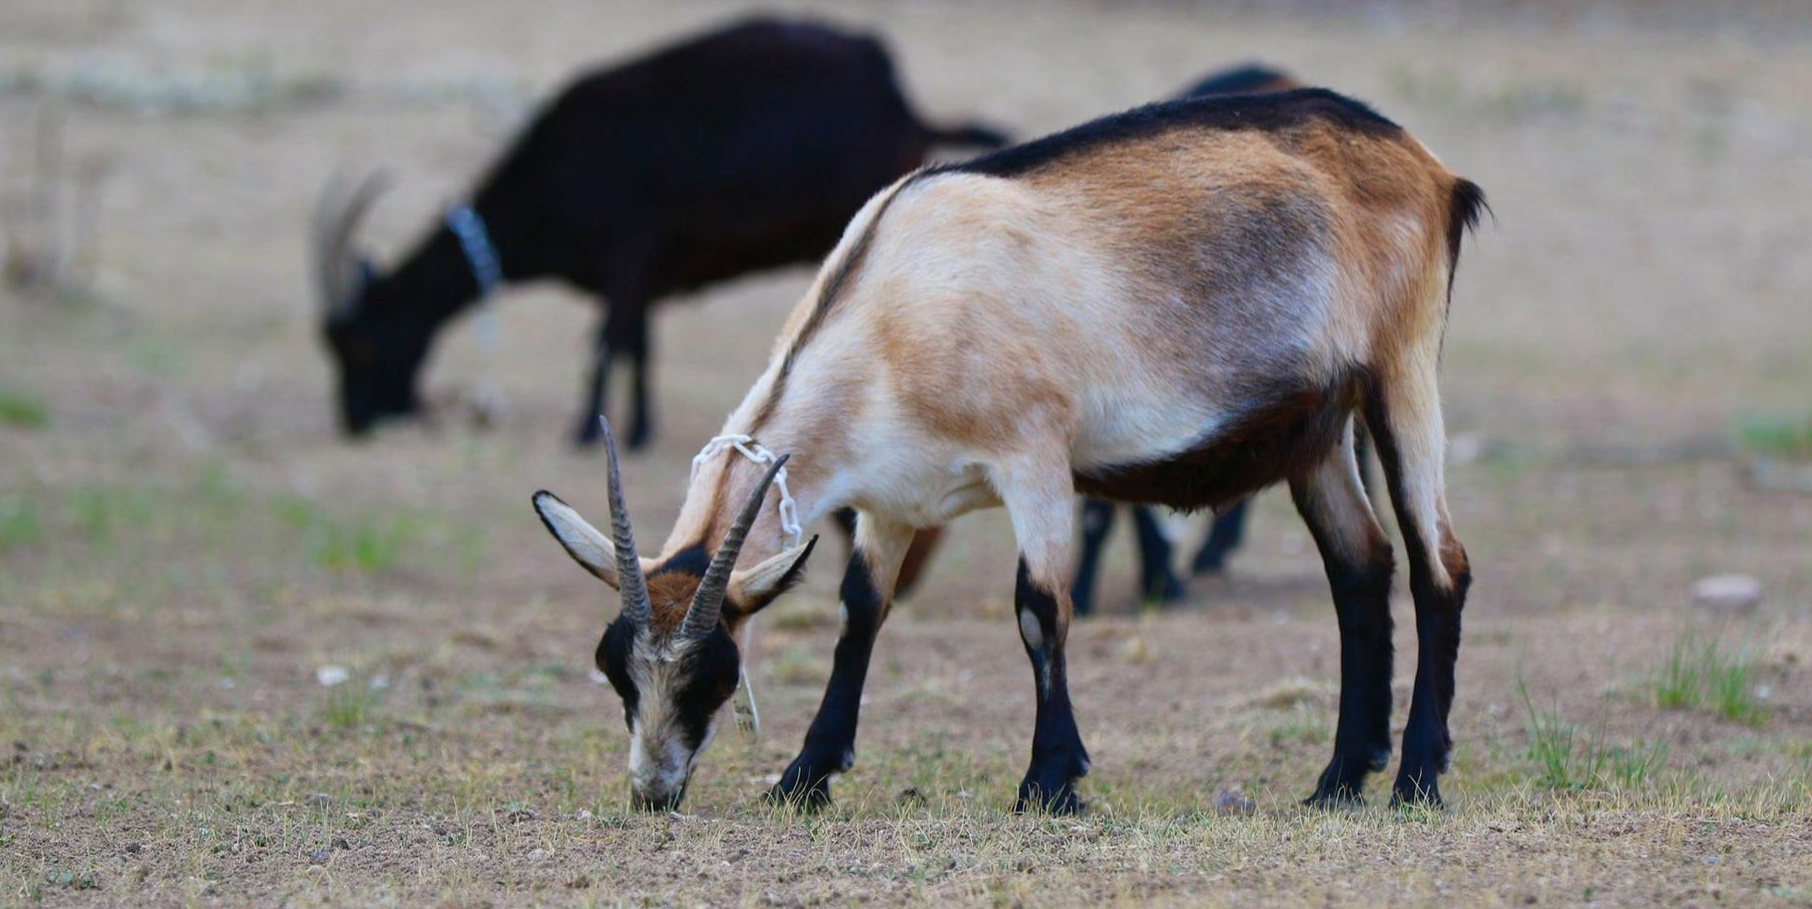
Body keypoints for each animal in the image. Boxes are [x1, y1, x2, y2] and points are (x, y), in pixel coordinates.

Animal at [313, 17, 1007, 449]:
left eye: (362, 345)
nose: (354, 422)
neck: (555, 171)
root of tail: (907, 106)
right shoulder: (643, 276)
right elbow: (640, 347)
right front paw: (639, 431)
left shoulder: (627, 257)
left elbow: (605, 344)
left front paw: (580, 432)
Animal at [531, 88, 1485, 814]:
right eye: (616, 668)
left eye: (713, 673)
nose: (654, 790)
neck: (894, 304)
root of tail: (1431, 170)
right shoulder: (893, 501)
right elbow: (859, 613)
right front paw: (803, 777)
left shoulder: (1035, 460)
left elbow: (1039, 609)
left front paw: (1050, 782)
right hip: (1315, 435)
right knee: (1361, 567)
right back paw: (1338, 781)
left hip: (1400, 374)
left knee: (1439, 564)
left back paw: (1415, 779)